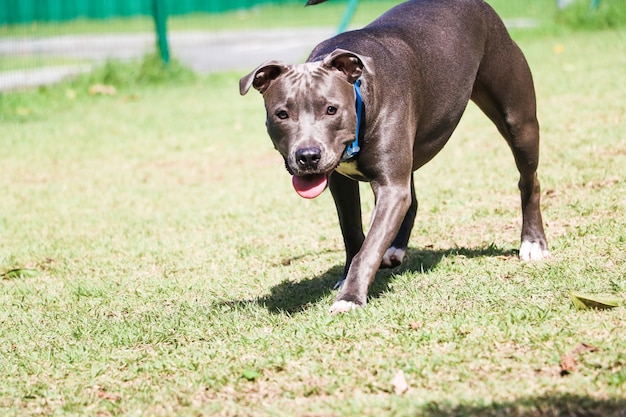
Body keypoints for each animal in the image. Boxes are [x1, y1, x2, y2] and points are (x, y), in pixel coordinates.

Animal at [238, 0, 544, 312]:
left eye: (331, 109)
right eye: (282, 114)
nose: (308, 156)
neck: (361, 98)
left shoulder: (390, 186)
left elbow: (369, 247)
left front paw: (350, 297)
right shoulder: (342, 183)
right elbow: (353, 232)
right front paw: (347, 277)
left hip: (518, 119)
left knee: (529, 181)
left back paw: (533, 243)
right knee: (412, 201)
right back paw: (395, 248)